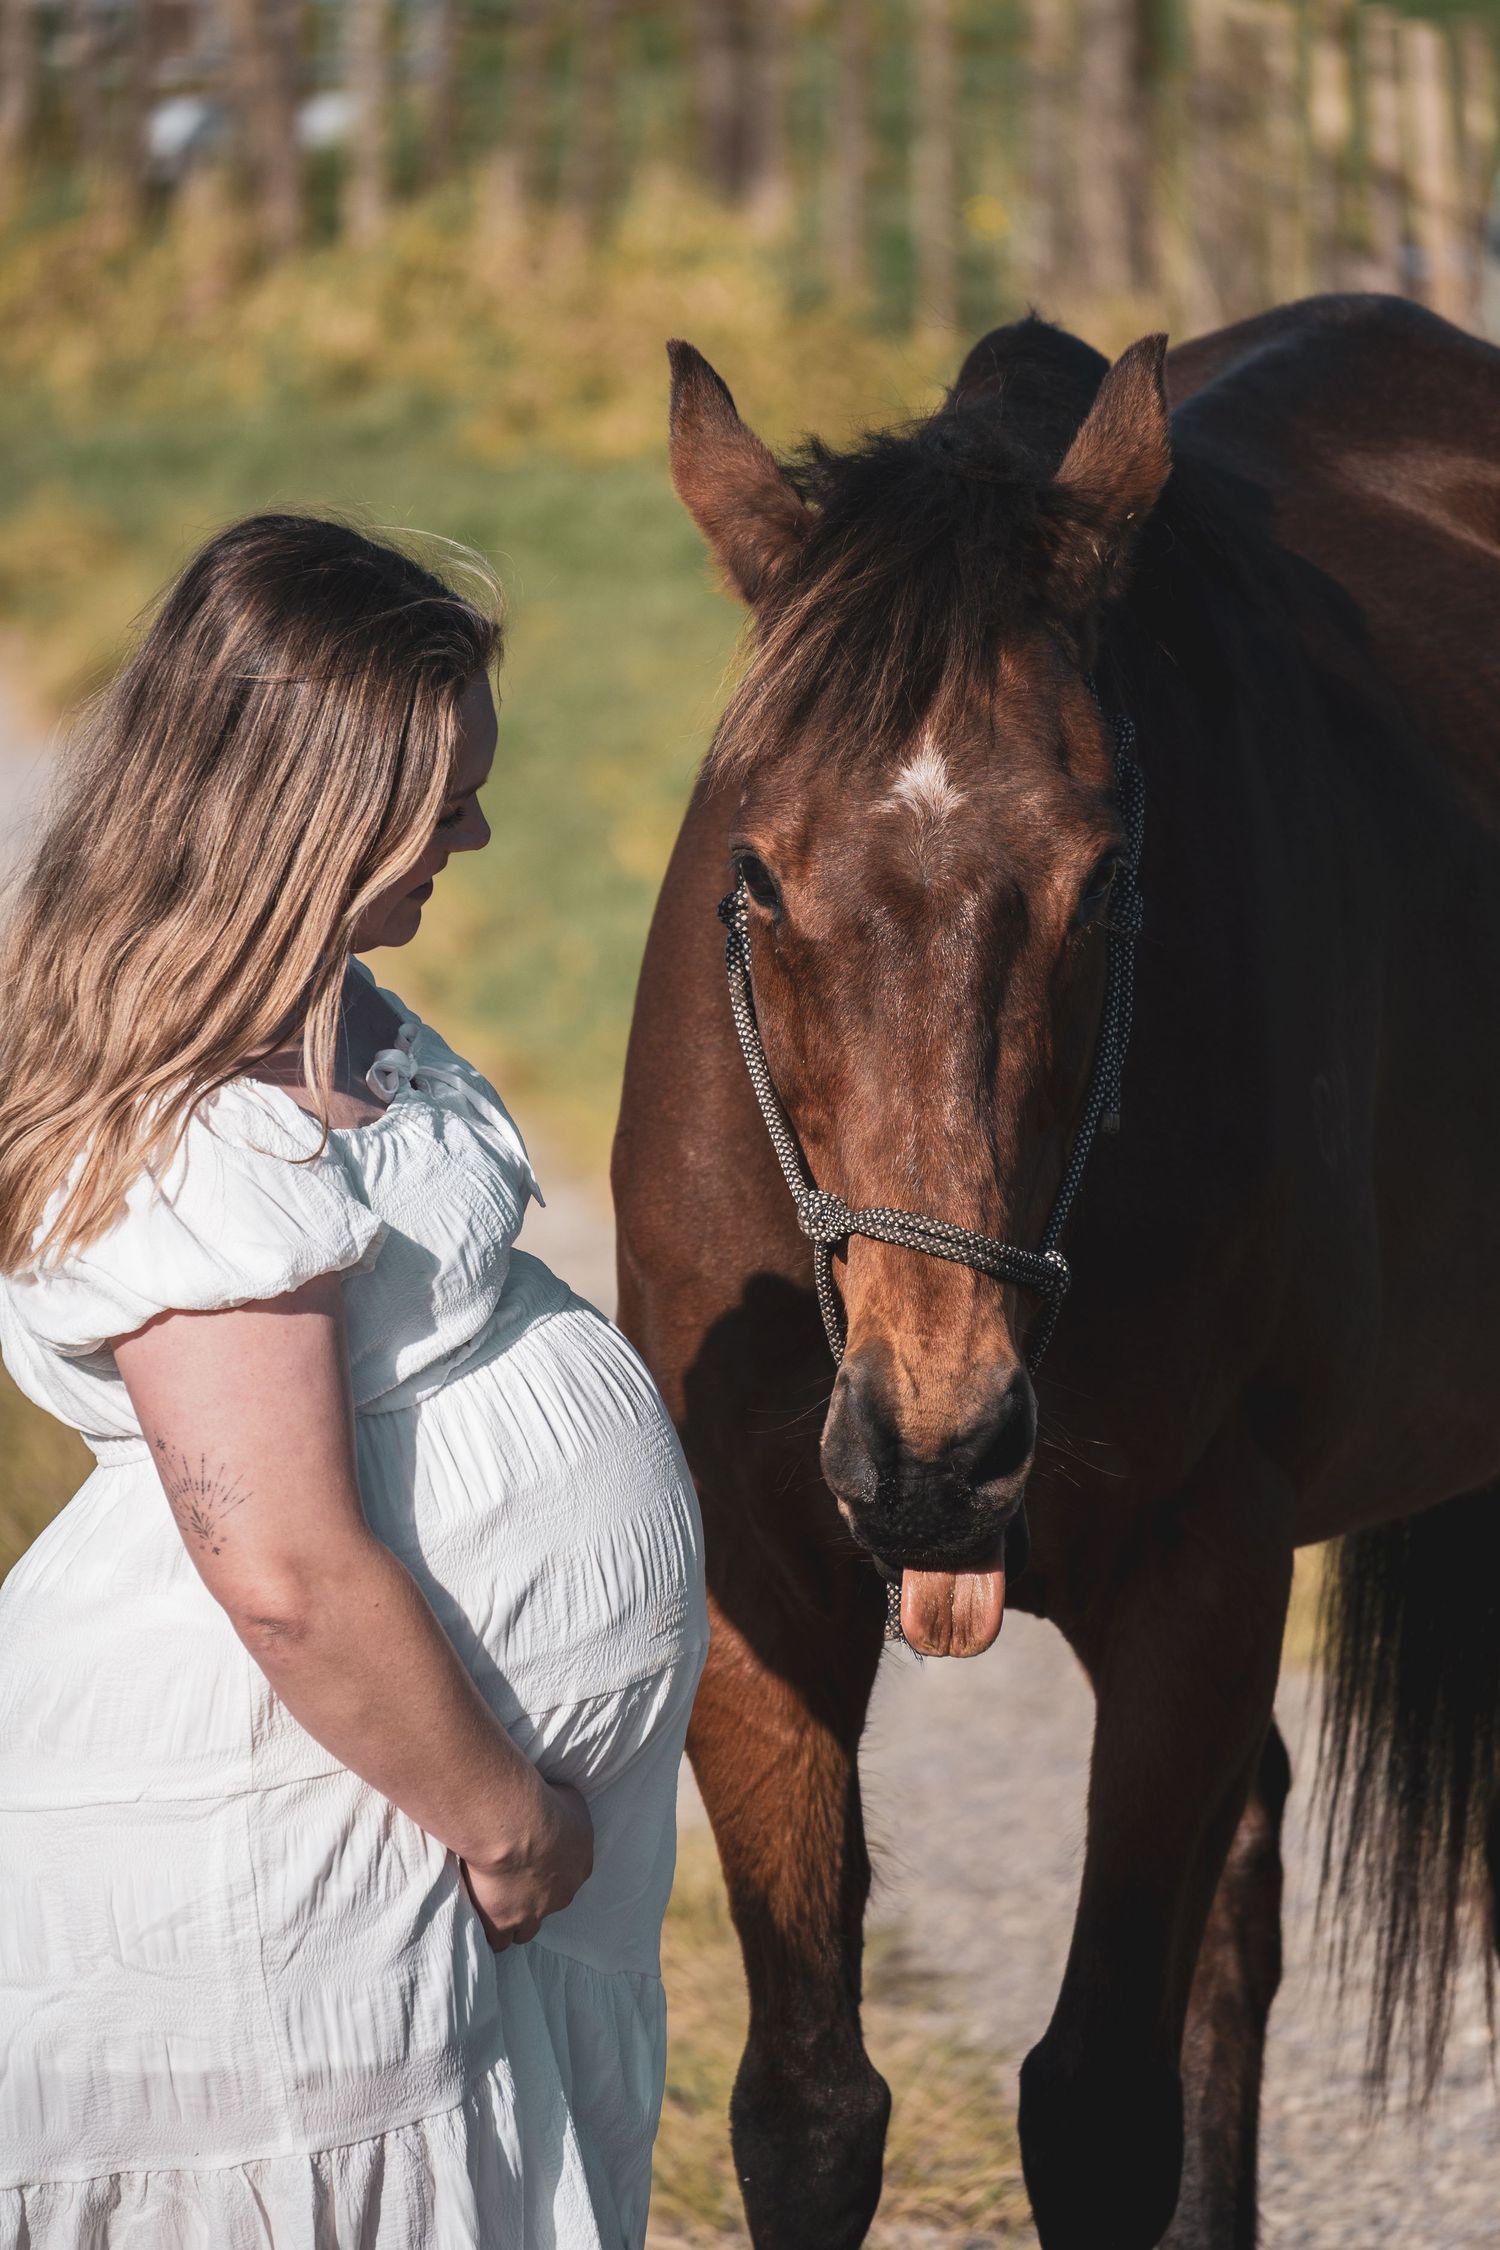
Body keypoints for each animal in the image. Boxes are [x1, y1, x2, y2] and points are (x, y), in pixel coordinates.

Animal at [611, 292, 1500, 2249]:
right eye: (756, 874)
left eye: (1106, 884)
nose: (938, 1449)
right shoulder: (760, 1576)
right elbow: (809, 2107)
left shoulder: (1199, 1575)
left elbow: (1095, 2105)